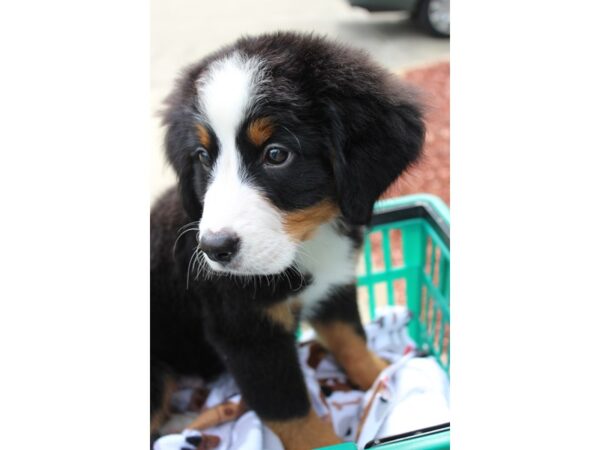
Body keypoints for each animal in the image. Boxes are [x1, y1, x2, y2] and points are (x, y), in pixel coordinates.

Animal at [150, 31, 424, 450]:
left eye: (276, 154)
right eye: (202, 156)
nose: (214, 248)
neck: (307, 243)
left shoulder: (334, 287)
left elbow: (353, 340)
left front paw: (383, 376)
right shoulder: (247, 331)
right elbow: (293, 414)